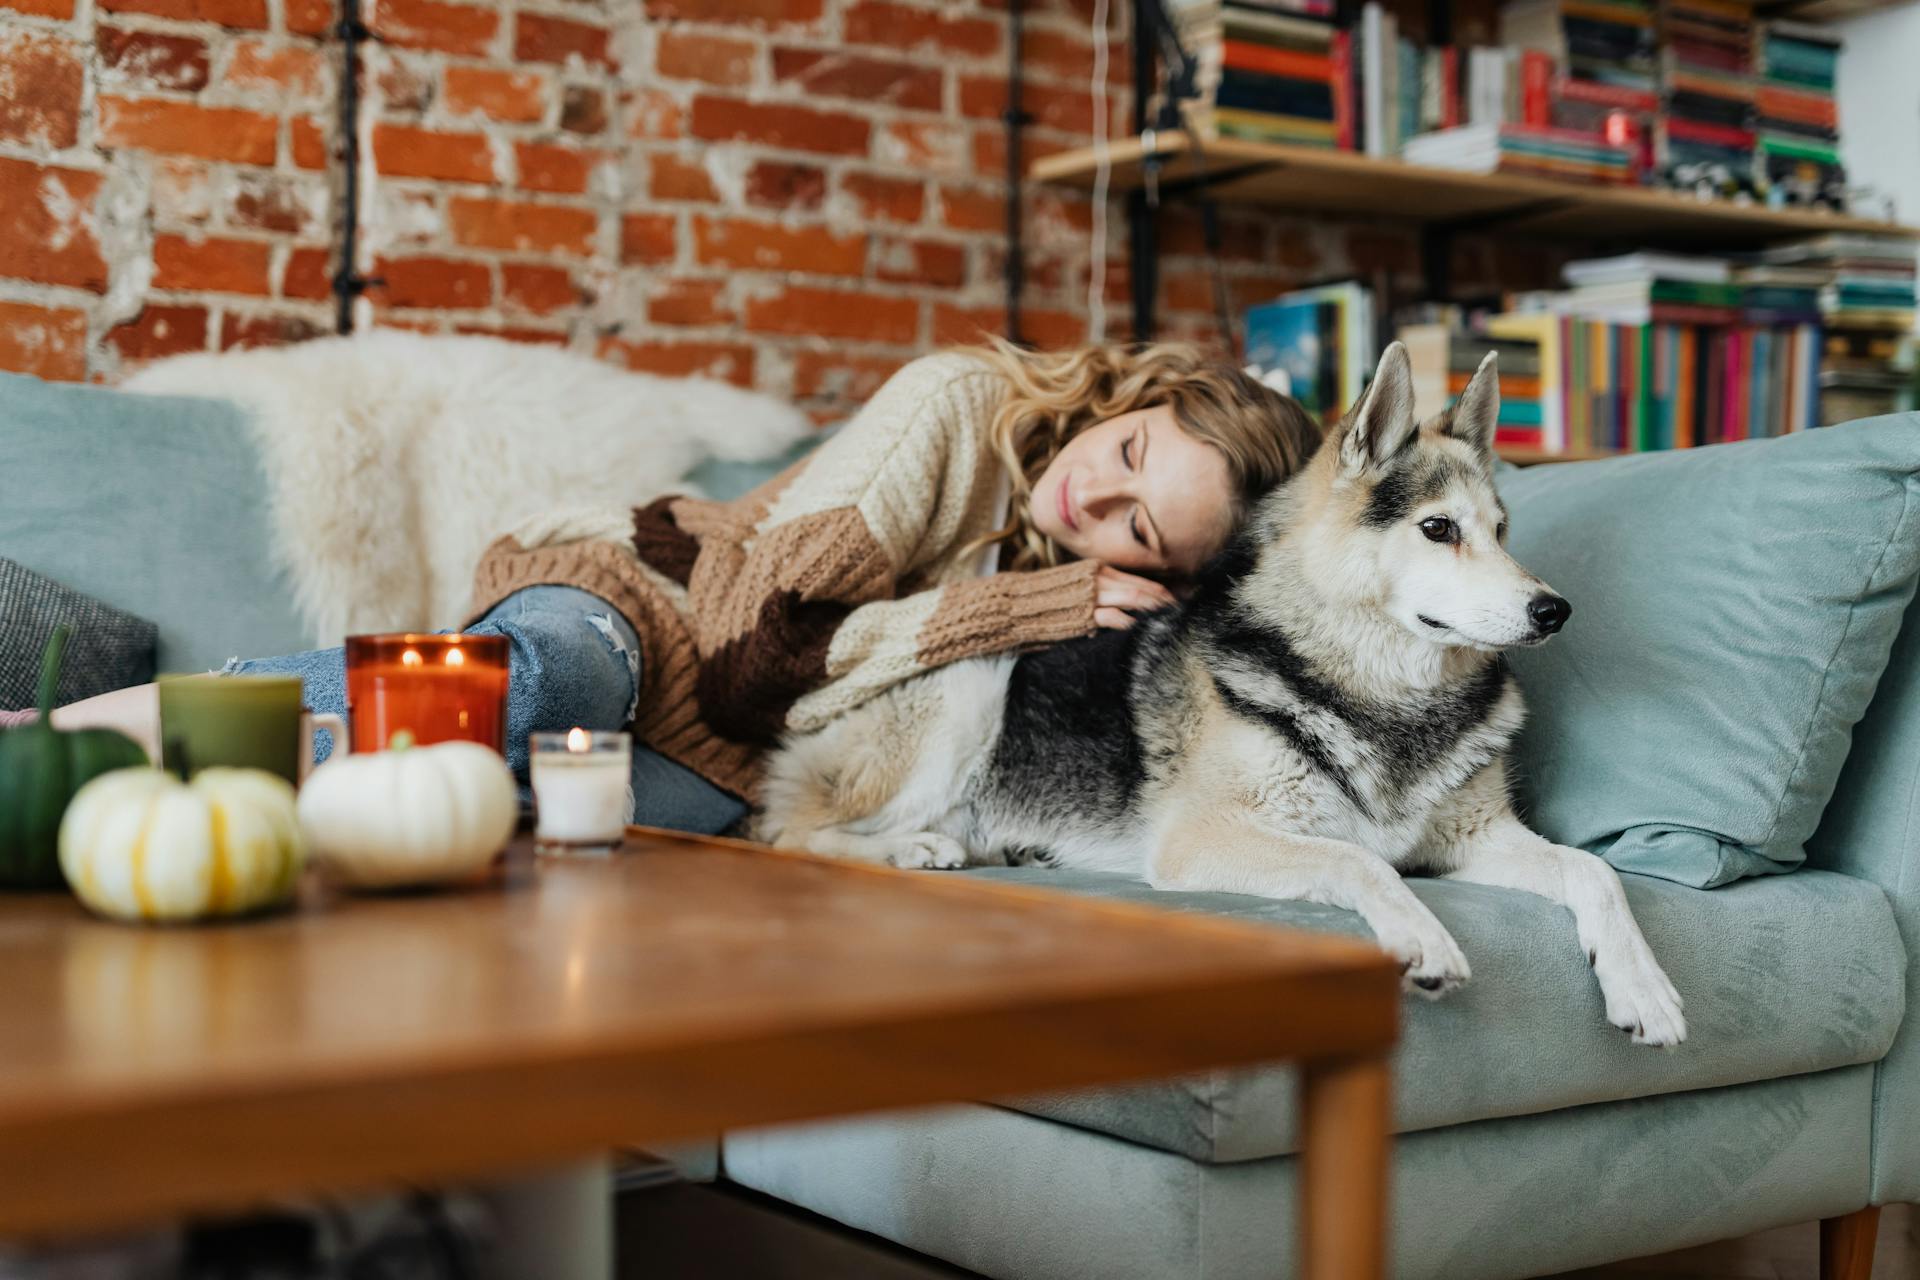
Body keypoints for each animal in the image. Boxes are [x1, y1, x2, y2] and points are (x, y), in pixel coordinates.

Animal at [756, 343, 1689, 1051]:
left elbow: (1596, 871)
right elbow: (1356, 860)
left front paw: (1642, 985)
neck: (1381, 690)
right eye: (1438, 529)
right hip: (970, 684)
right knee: (792, 834)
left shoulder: (1474, 839)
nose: (1555, 610)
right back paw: (912, 848)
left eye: (1501, 532)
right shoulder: (1206, 837)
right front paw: (1422, 934)